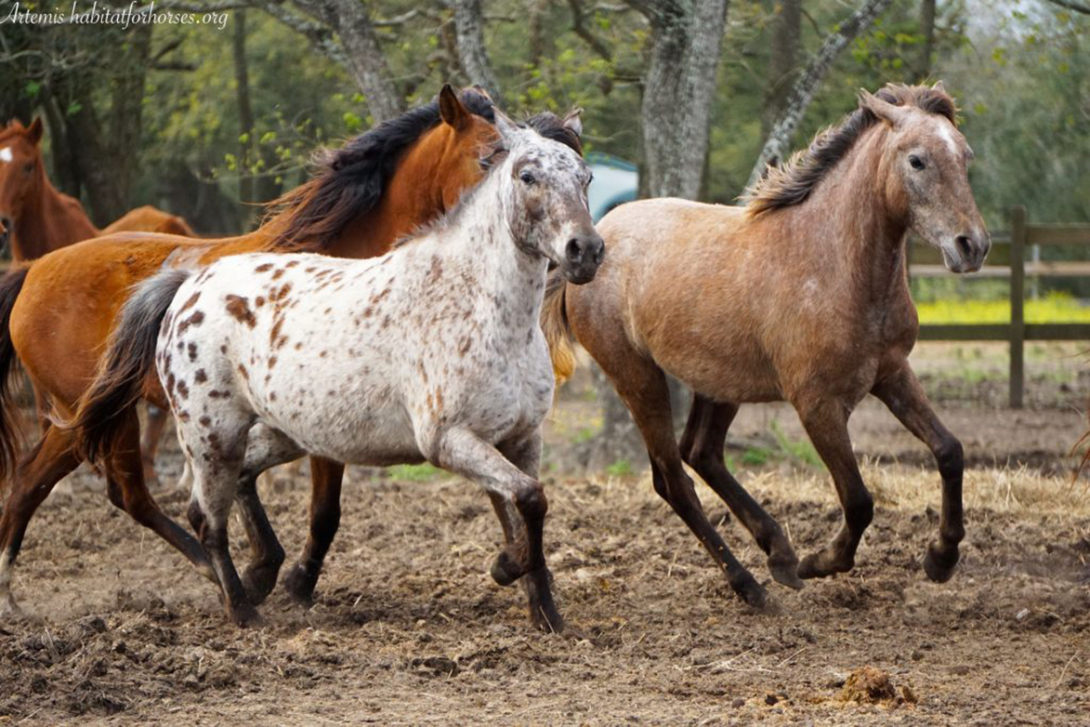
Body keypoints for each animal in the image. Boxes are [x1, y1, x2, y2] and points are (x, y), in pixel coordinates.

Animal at [542, 82, 989, 610]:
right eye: (917, 160)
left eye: (965, 155)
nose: (971, 246)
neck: (834, 266)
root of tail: (592, 242)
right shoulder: (817, 404)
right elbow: (858, 500)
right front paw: (821, 562)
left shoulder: (892, 373)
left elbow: (949, 451)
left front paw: (941, 558)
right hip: (637, 376)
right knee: (673, 477)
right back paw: (751, 583)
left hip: (718, 382)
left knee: (701, 453)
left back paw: (776, 551)